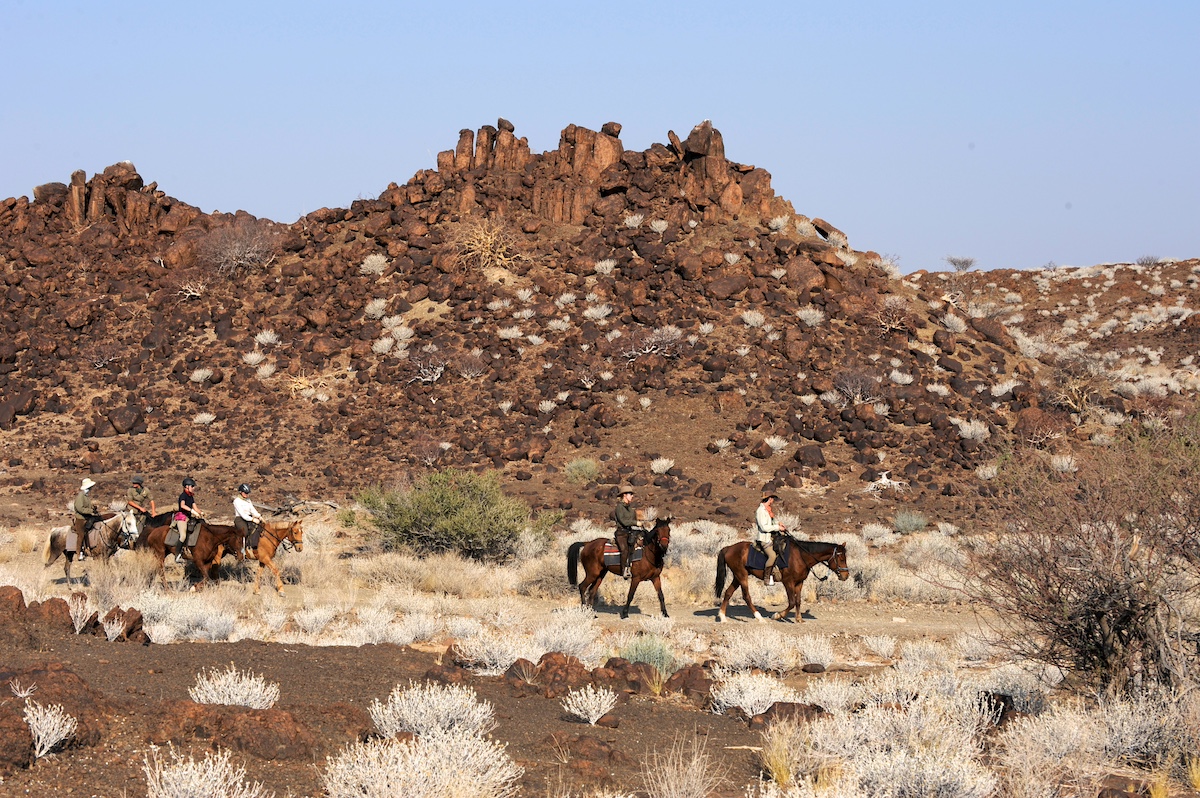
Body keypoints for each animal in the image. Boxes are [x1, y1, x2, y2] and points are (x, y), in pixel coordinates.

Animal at [710, 535, 854, 624]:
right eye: (841, 558)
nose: (845, 575)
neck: (801, 556)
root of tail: (728, 548)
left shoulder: (799, 582)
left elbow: (798, 601)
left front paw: (799, 619)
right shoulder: (788, 582)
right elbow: (791, 602)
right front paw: (777, 615)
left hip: (737, 576)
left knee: (728, 592)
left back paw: (722, 617)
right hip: (742, 576)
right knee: (746, 596)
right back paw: (759, 618)